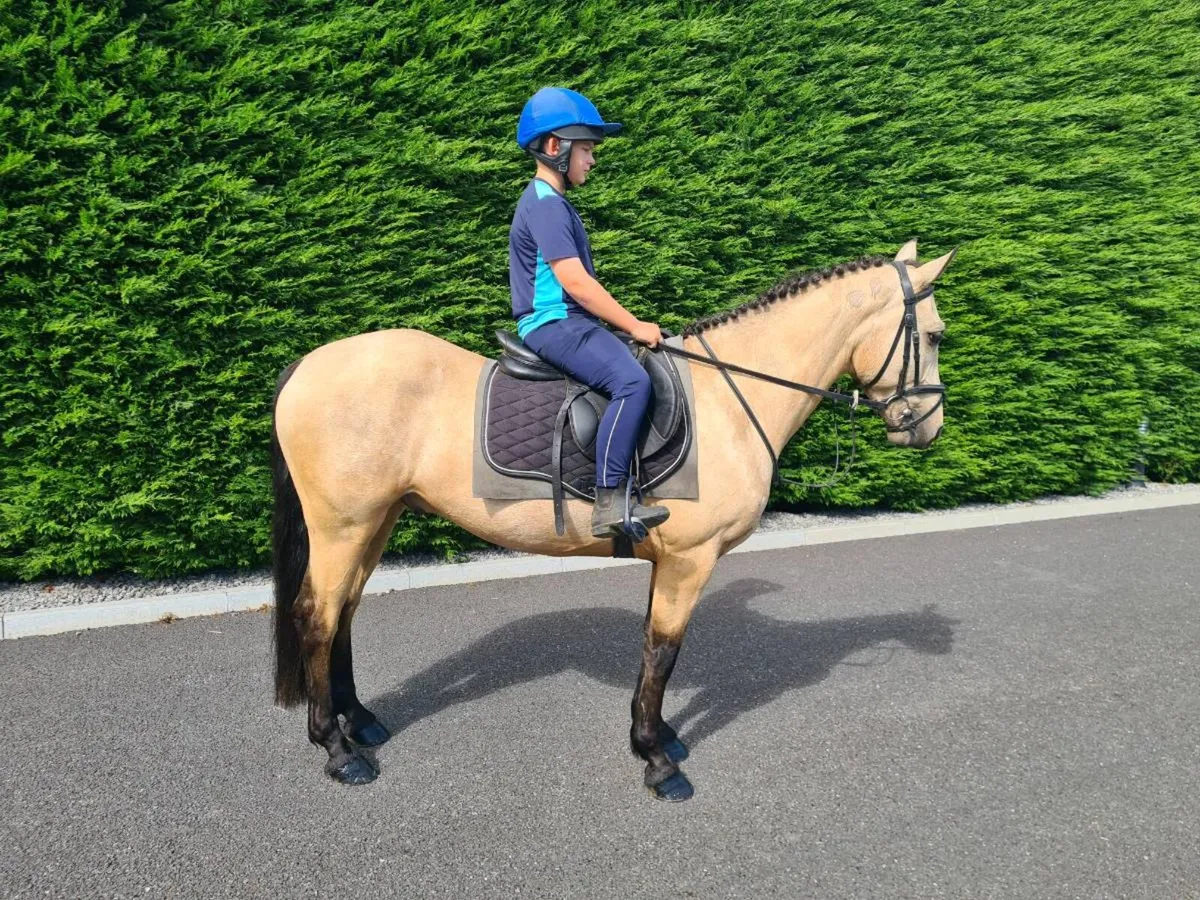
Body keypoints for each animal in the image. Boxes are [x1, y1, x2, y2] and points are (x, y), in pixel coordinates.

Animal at [269, 238, 956, 800]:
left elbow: (654, 650)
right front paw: (658, 762)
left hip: (376, 521)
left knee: (344, 613)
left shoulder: (669, 561)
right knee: (317, 617)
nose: (928, 428)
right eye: (936, 336)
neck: (728, 398)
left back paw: (361, 722)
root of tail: (307, 364)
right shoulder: (690, 561)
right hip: (343, 526)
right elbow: (663, 652)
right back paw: (337, 749)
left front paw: (657, 735)